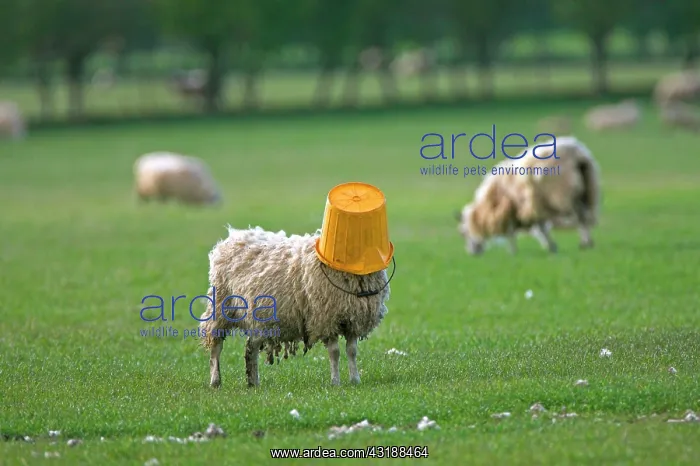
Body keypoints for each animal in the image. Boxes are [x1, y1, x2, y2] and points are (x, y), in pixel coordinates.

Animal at [198, 226, 391, 388]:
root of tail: (233, 237)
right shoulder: (326, 319)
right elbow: (335, 352)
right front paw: (336, 382)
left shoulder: (352, 320)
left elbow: (352, 351)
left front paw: (355, 380)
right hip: (221, 306)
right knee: (216, 345)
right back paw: (215, 381)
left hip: (257, 316)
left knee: (250, 348)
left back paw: (253, 382)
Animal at [456, 136, 600, 255]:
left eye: (464, 233)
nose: (472, 253)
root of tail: (575, 154)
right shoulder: (535, 207)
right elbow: (541, 229)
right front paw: (551, 246)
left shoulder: (509, 209)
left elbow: (512, 232)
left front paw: (512, 251)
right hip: (587, 190)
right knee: (585, 216)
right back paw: (588, 242)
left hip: (565, 196)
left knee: (581, 217)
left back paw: (585, 243)